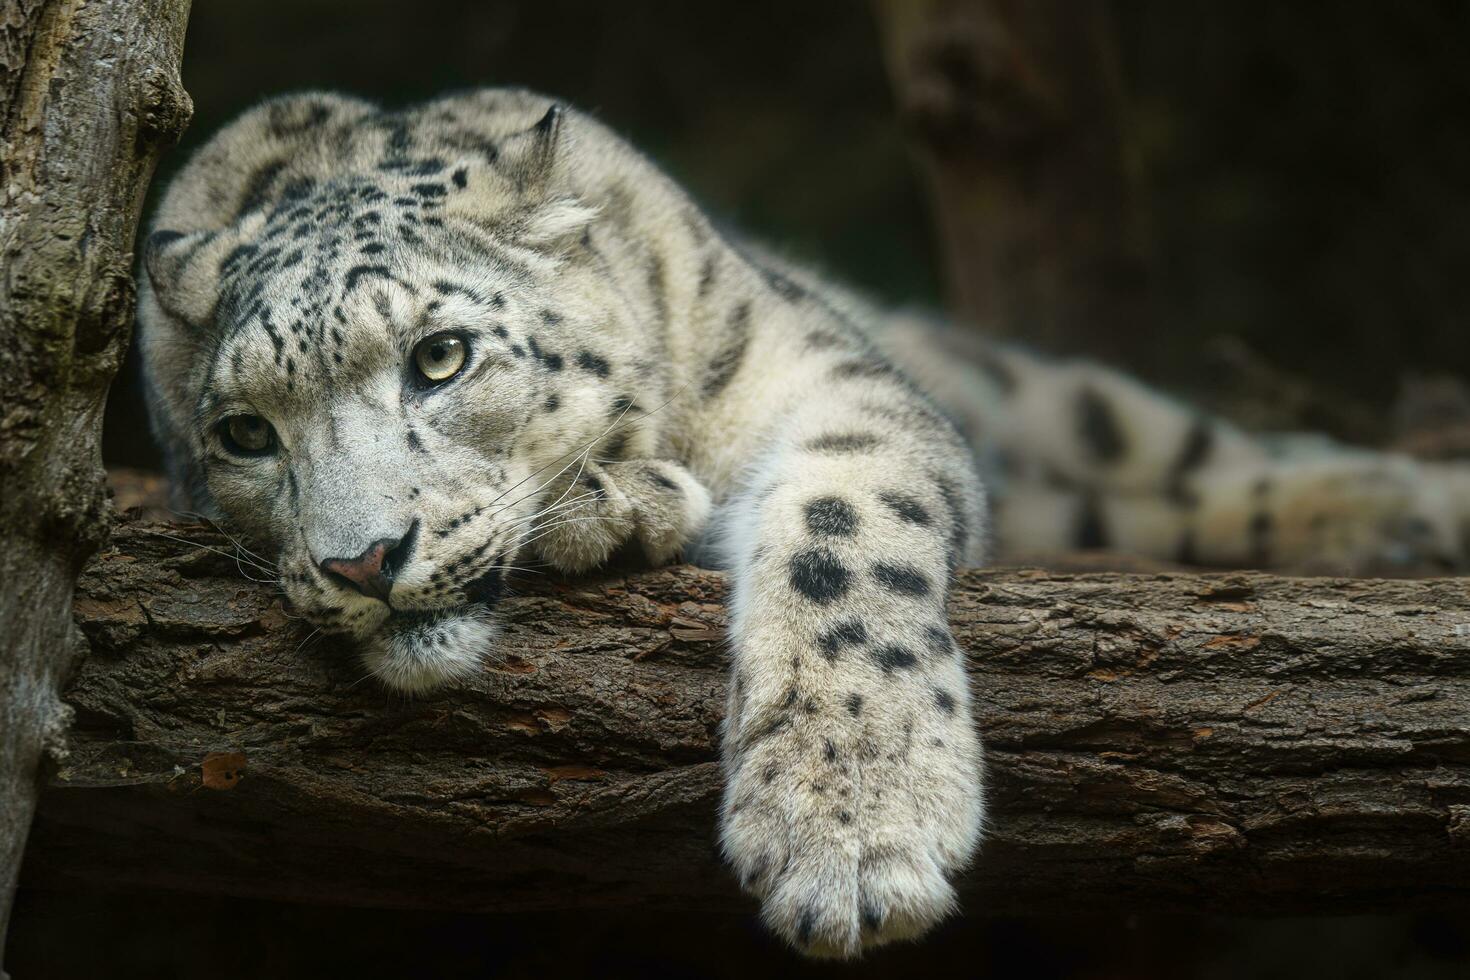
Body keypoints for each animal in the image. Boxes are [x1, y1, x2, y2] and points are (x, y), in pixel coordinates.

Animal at [138, 88, 1470, 963]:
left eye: (441, 355)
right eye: (245, 431)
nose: (362, 558)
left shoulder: (830, 380)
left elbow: (845, 527)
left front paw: (853, 825)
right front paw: (623, 504)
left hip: (1058, 399)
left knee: (1186, 450)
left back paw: (1404, 507)